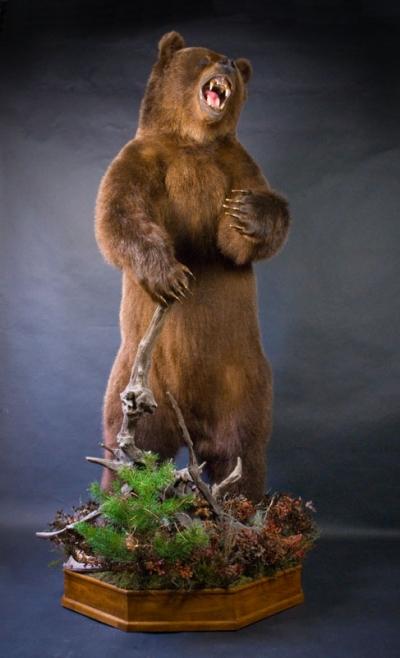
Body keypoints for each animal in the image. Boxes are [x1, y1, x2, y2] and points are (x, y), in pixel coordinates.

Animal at [95, 31, 290, 502]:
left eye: (233, 64)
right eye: (205, 56)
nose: (229, 64)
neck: (194, 141)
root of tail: (189, 420)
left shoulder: (238, 166)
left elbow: (239, 241)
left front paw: (248, 212)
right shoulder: (140, 159)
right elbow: (120, 214)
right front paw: (169, 276)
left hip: (244, 380)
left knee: (242, 446)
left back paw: (242, 502)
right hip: (136, 380)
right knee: (131, 445)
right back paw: (115, 501)